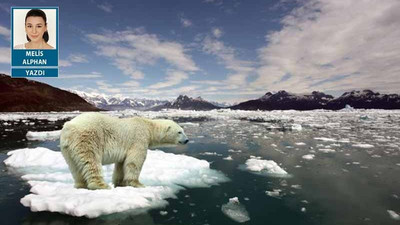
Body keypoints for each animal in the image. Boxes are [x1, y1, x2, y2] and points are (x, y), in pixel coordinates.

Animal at [59, 112, 189, 190]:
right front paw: (138, 184)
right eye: (179, 132)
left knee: (74, 166)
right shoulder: (139, 139)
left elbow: (121, 164)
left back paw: (80, 185)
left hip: (67, 148)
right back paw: (101, 185)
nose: (187, 140)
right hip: (88, 138)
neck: (148, 126)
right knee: (91, 161)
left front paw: (120, 183)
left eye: (183, 130)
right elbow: (134, 161)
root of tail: (68, 127)